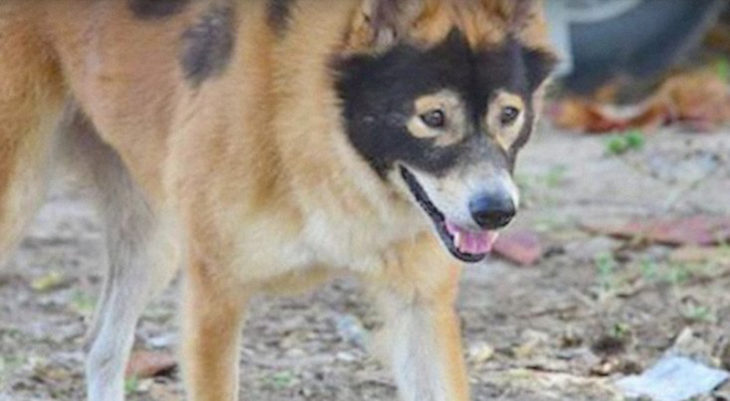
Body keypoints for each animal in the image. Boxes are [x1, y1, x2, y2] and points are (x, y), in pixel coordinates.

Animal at [0, 1, 552, 398]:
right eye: (433, 118)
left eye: (509, 114)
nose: (496, 211)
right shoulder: (215, 298)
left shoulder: (421, 306)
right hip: (17, 201)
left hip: (156, 243)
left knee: (101, 346)